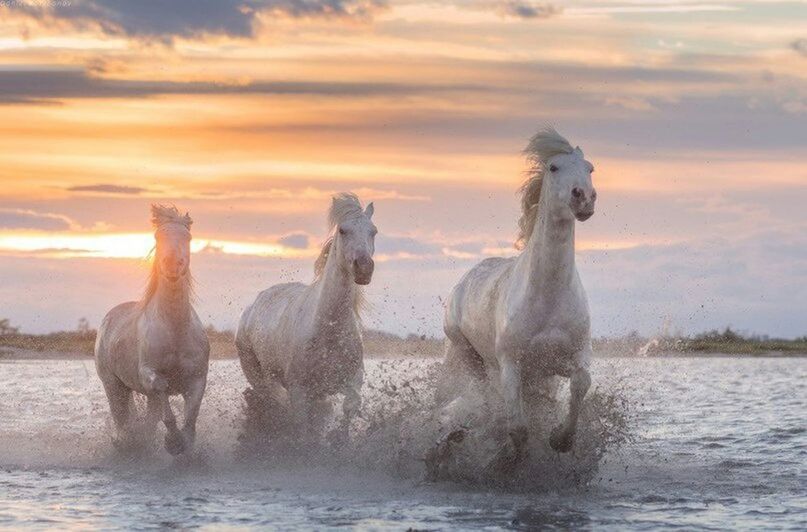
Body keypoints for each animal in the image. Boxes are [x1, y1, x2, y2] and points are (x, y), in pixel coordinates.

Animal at [94, 206, 211, 456]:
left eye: (187, 237)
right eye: (158, 237)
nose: (172, 264)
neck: (175, 329)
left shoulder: (197, 378)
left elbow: (190, 418)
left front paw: (183, 443)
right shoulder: (149, 375)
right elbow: (162, 393)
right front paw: (172, 442)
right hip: (113, 385)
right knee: (121, 418)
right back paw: (125, 443)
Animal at [237, 191, 378, 440]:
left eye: (374, 231)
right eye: (343, 230)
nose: (363, 268)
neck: (330, 330)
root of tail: (252, 307)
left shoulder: (352, 381)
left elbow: (348, 409)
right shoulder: (299, 391)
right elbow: (302, 429)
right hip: (260, 378)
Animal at [442, 128, 600, 454]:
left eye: (590, 168)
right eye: (553, 167)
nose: (583, 198)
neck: (548, 298)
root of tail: (462, 283)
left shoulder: (569, 358)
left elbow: (581, 383)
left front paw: (561, 439)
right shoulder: (511, 367)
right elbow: (518, 428)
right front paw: (509, 455)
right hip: (468, 353)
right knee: (484, 396)